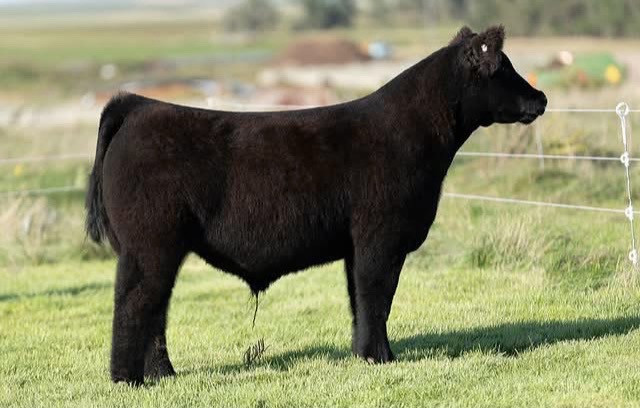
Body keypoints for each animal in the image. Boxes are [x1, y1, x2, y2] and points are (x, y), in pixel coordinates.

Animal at [85, 25, 547, 385]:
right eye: (502, 68)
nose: (541, 97)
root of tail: (138, 105)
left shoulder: (357, 245)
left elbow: (361, 299)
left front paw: (365, 354)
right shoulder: (381, 236)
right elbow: (377, 294)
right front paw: (381, 357)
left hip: (159, 248)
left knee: (154, 307)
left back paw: (163, 374)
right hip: (149, 244)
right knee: (134, 302)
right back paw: (128, 380)